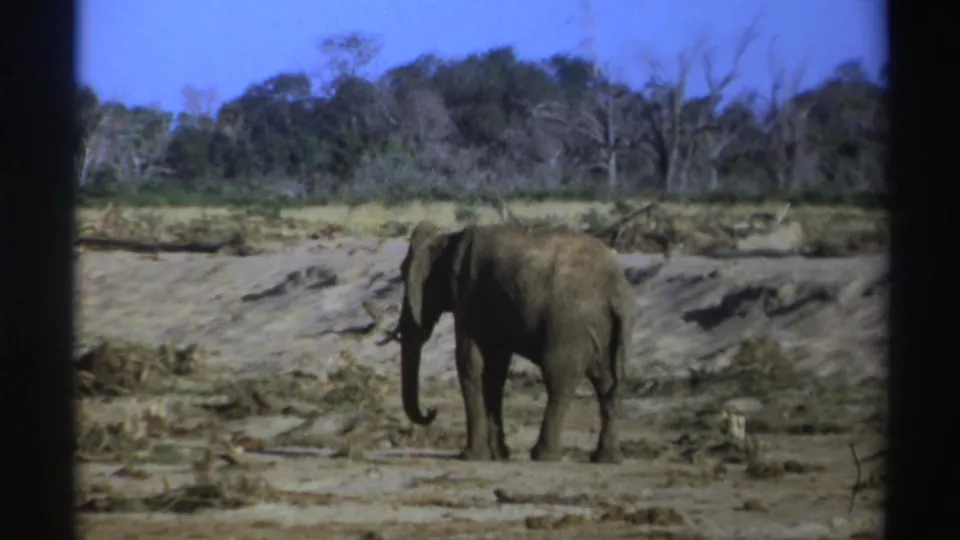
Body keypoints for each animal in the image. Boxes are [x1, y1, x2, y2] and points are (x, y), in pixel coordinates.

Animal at [378, 220, 634, 464]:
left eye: (403, 273)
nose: (432, 410)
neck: (448, 240)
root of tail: (616, 291)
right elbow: (494, 370)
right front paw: (498, 454)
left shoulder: (468, 295)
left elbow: (470, 363)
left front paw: (472, 456)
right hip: (602, 327)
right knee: (606, 383)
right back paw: (606, 459)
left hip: (570, 324)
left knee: (558, 379)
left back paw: (544, 456)